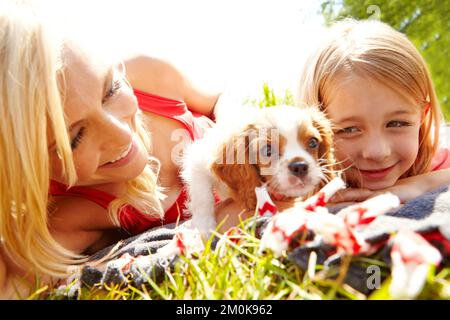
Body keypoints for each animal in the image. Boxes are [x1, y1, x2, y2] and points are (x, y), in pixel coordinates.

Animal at [181, 105, 336, 235]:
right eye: (267, 151)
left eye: (313, 142)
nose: (300, 166)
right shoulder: (198, 160)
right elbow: (203, 196)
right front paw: (205, 227)